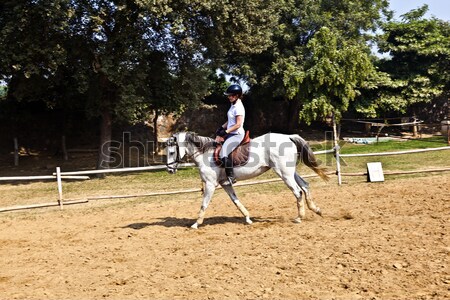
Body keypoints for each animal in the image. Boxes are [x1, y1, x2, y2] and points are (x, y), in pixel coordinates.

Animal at [167, 132, 328, 229]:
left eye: (171, 152)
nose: (169, 170)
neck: (205, 154)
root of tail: (288, 137)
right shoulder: (225, 184)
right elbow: (236, 201)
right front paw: (248, 218)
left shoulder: (210, 184)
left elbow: (204, 204)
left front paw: (195, 224)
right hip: (289, 172)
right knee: (305, 186)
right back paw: (317, 210)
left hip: (284, 174)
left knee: (298, 191)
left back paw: (299, 217)